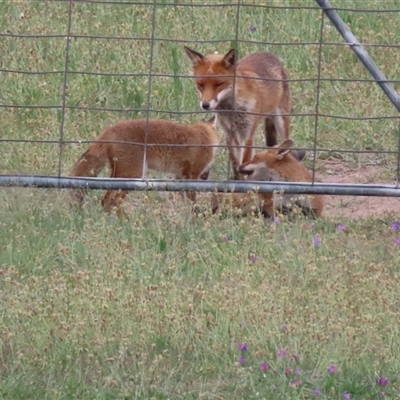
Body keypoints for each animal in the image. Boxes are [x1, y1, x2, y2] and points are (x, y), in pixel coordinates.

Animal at [69, 118, 219, 216]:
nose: (206, 176)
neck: (204, 135)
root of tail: (109, 130)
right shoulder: (192, 175)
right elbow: (193, 202)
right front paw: (196, 219)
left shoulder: (180, 177)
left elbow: (186, 202)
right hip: (132, 175)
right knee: (112, 200)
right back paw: (125, 222)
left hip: (119, 175)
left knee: (105, 201)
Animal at [184, 47, 290, 178]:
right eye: (200, 84)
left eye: (218, 84)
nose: (205, 105)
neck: (231, 110)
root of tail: (267, 53)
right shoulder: (230, 134)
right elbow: (235, 163)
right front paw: (238, 179)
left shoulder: (247, 134)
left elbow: (244, 162)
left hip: (281, 122)